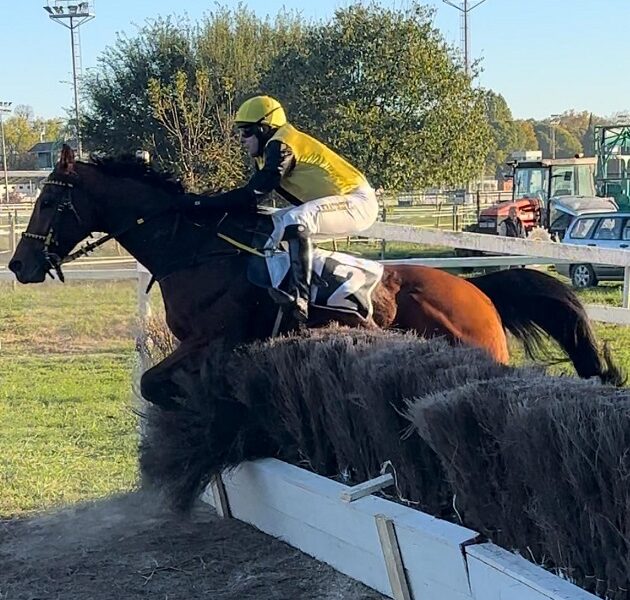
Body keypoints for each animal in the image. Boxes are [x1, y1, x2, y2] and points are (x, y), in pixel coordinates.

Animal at [7, 146, 624, 408]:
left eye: (48, 202)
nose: (18, 265)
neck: (195, 251)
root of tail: (475, 287)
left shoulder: (215, 338)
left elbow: (154, 384)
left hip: (479, 348)